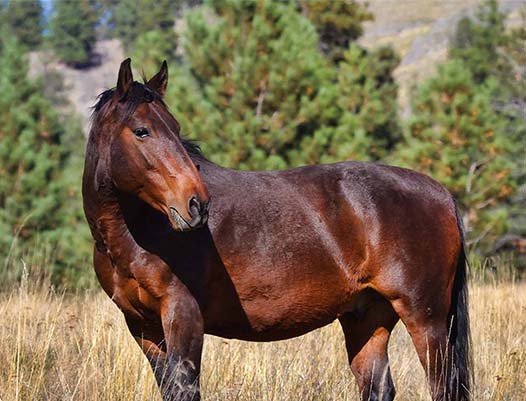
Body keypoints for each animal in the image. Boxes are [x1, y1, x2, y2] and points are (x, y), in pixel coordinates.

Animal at [83, 59, 474, 400]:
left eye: (176, 129)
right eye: (141, 130)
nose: (197, 204)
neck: (138, 233)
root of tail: (441, 193)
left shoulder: (183, 316)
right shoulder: (143, 327)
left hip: (426, 320)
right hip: (366, 319)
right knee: (378, 387)